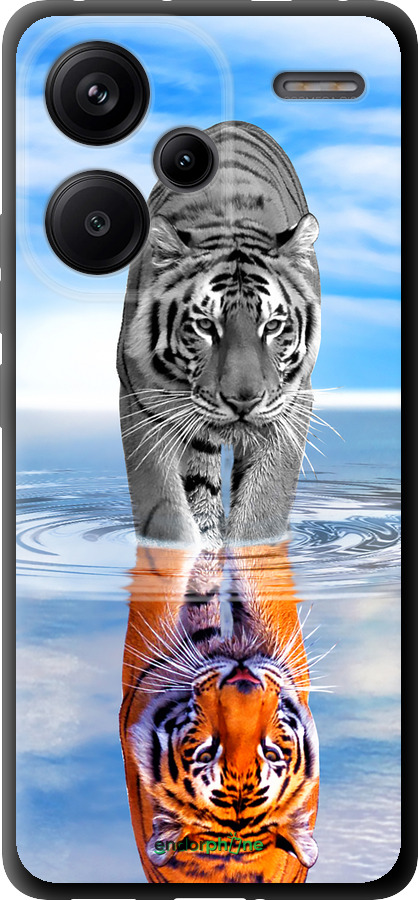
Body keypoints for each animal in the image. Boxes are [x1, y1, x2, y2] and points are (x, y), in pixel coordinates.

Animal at [117, 120, 321, 548]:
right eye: (206, 326)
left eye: (272, 326)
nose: (243, 401)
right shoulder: (141, 402)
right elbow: (165, 510)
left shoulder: (292, 405)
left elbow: (263, 508)